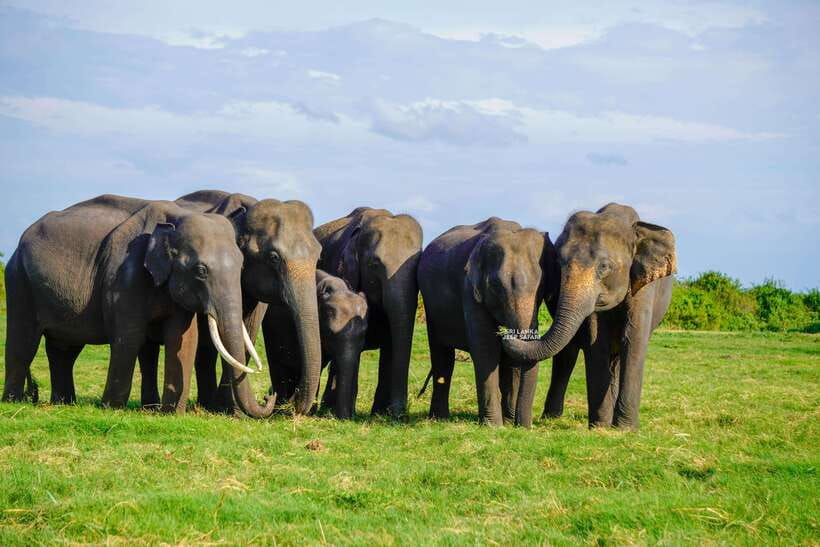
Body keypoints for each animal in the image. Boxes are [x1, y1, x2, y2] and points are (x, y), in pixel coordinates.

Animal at [2, 195, 273, 416]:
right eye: (201, 271)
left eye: (241, 267)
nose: (268, 395)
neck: (175, 219)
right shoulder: (124, 276)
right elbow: (129, 336)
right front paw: (111, 407)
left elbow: (183, 338)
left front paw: (172, 413)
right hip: (19, 281)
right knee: (23, 343)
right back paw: (15, 402)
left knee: (64, 349)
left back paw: (63, 403)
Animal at [171, 190, 322, 415]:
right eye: (274, 257)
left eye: (319, 255)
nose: (271, 396)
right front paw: (230, 409)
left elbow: (250, 328)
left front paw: (233, 410)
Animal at [417, 217, 556, 427]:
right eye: (496, 286)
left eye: (542, 286)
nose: (525, 426)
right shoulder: (468, 287)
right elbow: (486, 347)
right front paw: (494, 426)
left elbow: (514, 357)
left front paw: (508, 423)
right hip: (431, 307)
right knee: (442, 356)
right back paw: (439, 419)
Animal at [502, 203, 676, 430]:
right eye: (559, 264)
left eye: (604, 266)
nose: (506, 335)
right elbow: (596, 343)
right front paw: (601, 427)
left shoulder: (644, 286)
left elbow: (633, 340)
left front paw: (624, 429)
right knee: (567, 355)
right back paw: (552, 417)